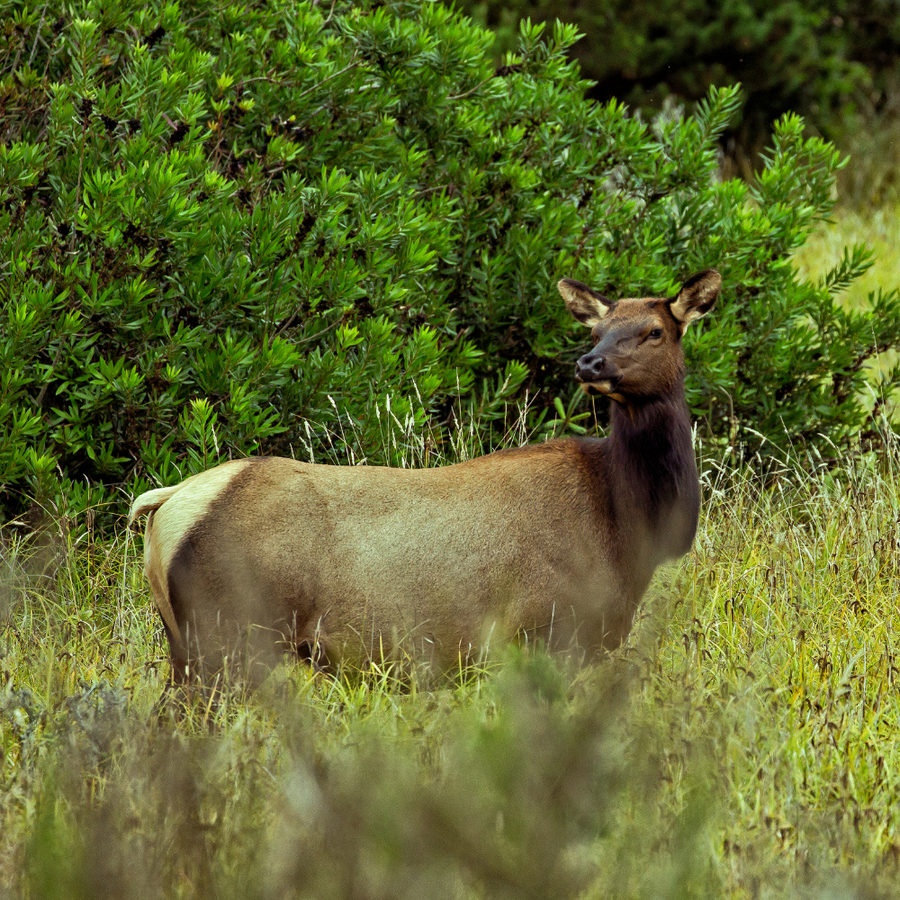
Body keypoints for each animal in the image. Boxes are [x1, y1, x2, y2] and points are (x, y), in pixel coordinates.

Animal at [129, 269, 720, 686]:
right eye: (596, 329)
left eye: (655, 330)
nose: (590, 364)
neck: (629, 527)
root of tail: (168, 503)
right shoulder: (549, 629)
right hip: (229, 632)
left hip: (184, 645)